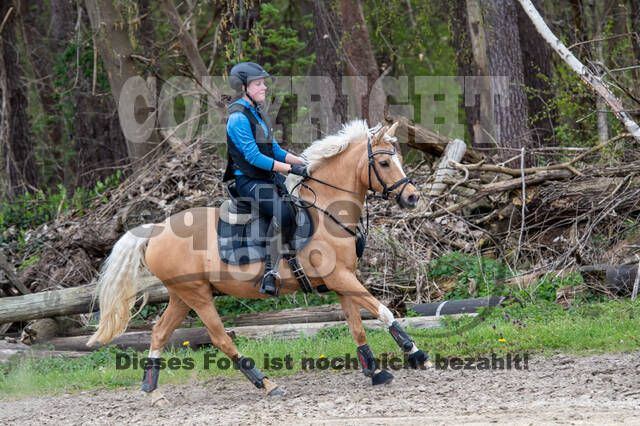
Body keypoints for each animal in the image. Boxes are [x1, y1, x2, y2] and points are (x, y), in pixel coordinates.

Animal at [87, 119, 428, 402]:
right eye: (384, 162)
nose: (412, 197)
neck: (327, 211)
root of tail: (156, 230)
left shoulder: (341, 281)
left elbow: (356, 326)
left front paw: (374, 371)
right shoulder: (341, 278)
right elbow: (383, 311)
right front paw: (415, 354)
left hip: (181, 295)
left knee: (159, 332)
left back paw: (153, 392)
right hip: (197, 294)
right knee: (219, 337)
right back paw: (267, 383)